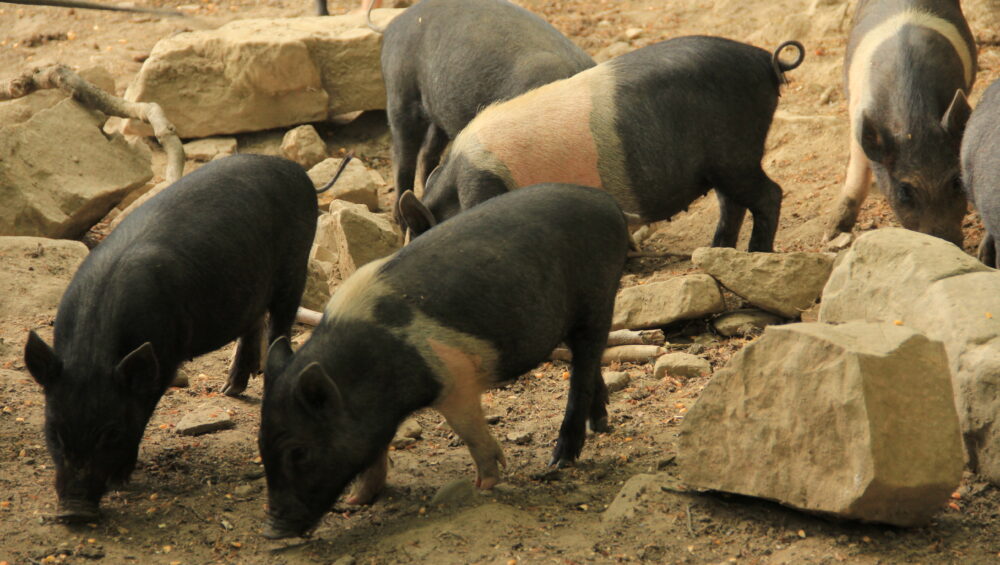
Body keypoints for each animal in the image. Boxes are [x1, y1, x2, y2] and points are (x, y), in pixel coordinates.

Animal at [23, 155, 318, 523]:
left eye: (112, 432)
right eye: (53, 431)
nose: (74, 511)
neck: (94, 352)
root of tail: (294, 170)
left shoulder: (164, 358)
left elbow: (143, 413)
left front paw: (121, 480)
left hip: (296, 266)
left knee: (281, 326)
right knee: (253, 320)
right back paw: (230, 390)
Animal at [259, 184, 629, 538]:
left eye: (299, 452)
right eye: (262, 445)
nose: (272, 531)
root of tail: (609, 204)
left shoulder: (455, 379)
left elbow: (470, 432)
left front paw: (485, 485)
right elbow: (374, 454)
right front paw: (357, 500)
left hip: (598, 299)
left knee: (584, 367)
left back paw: (560, 460)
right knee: (588, 366)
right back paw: (599, 423)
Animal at [380, 0, 595, 218]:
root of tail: (393, 25)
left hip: (437, 112)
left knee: (427, 151)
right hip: (399, 91)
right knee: (402, 154)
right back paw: (397, 217)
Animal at [401, 35, 805, 253]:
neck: (456, 190)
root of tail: (767, 62)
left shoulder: (484, 191)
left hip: (736, 150)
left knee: (769, 194)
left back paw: (756, 253)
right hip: (720, 164)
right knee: (731, 204)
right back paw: (715, 250)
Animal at [826, 0, 976, 245]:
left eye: (956, 182)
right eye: (904, 191)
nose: (945, 241)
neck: (915, 124)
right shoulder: (858, 117)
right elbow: (857, 171)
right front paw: (832, 234)